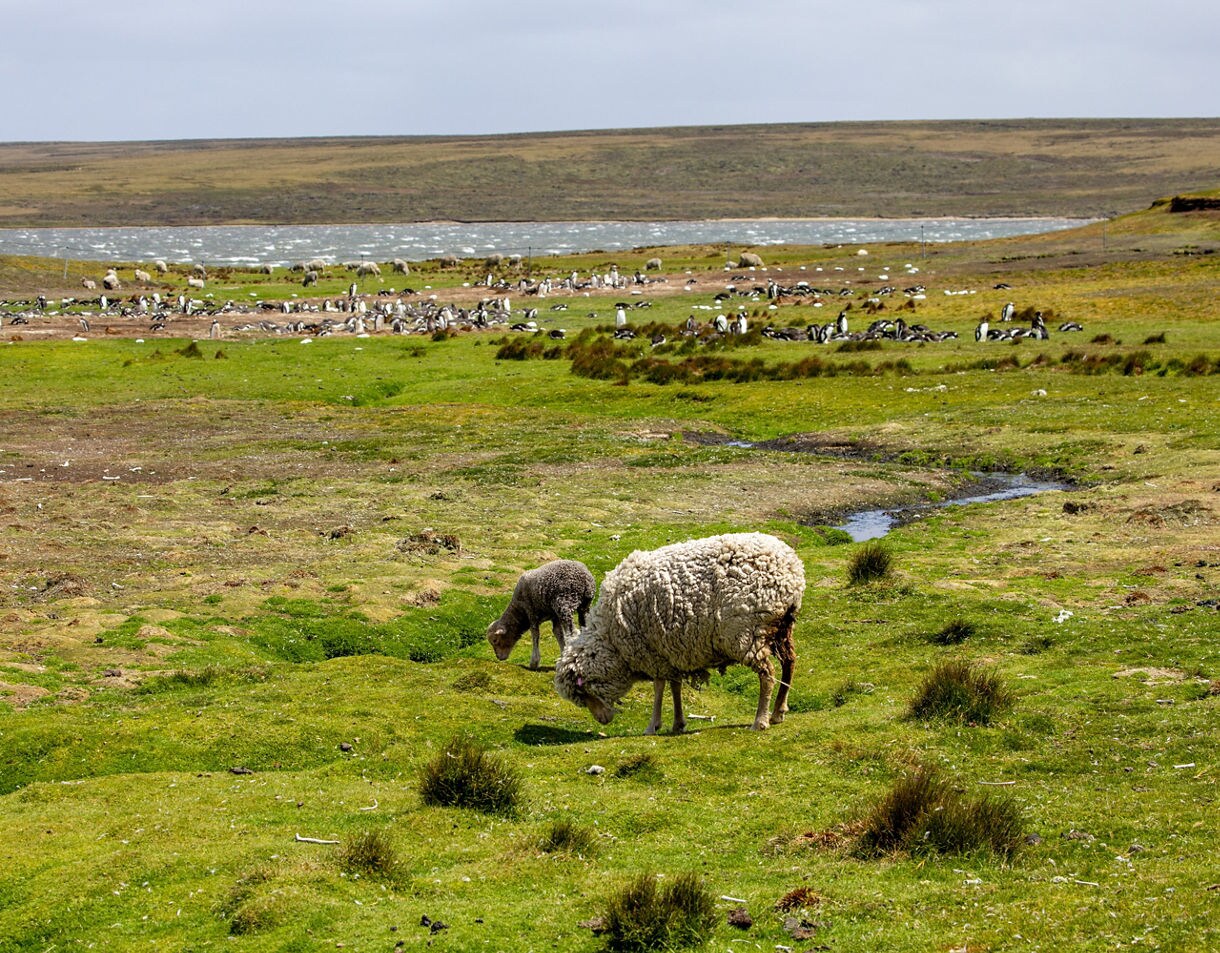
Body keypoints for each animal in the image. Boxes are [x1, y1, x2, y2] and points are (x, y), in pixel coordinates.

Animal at [555, 533, 805, 734]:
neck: (613, 644)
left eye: (583, 693)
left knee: (767, 673)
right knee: (789, 663)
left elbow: (659, 688)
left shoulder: (653, 652)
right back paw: (778, 712)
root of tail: (791, 569)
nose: (603, 721)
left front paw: (652, 726)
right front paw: (678, 723)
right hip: (781, 627)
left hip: (747, 632)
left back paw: (760, 721)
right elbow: (675, 686)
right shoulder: (671, 651)